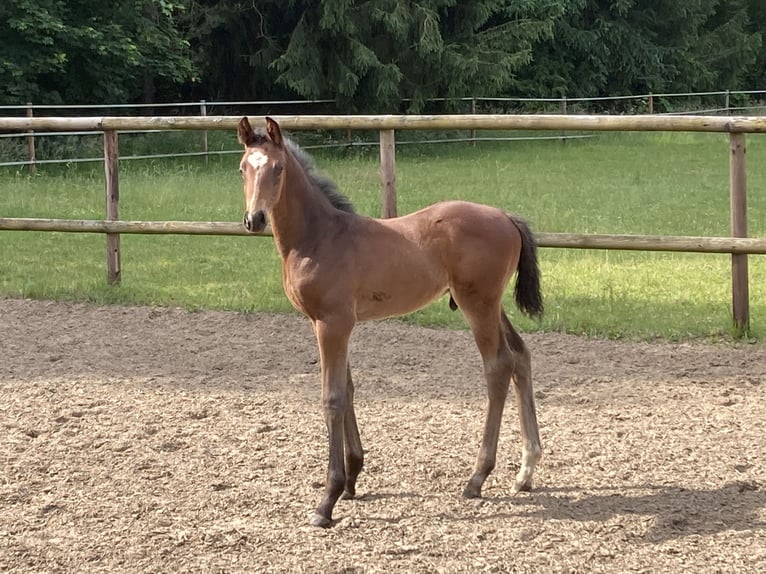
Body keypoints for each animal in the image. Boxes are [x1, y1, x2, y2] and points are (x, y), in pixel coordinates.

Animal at [237, 118, 544, 532]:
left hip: (477, 304)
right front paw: (352, 477)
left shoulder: (332, 324)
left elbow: (332, 397)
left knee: (499, 366)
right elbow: (348, 389)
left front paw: (327, 499)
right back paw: (526, 472)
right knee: (521, 356)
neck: (320, 237)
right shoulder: (332, 324)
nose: (254, 220)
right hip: (492, 305)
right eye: (243, 168)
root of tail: (506, 216)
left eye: (278, 168)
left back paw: (477, 477)